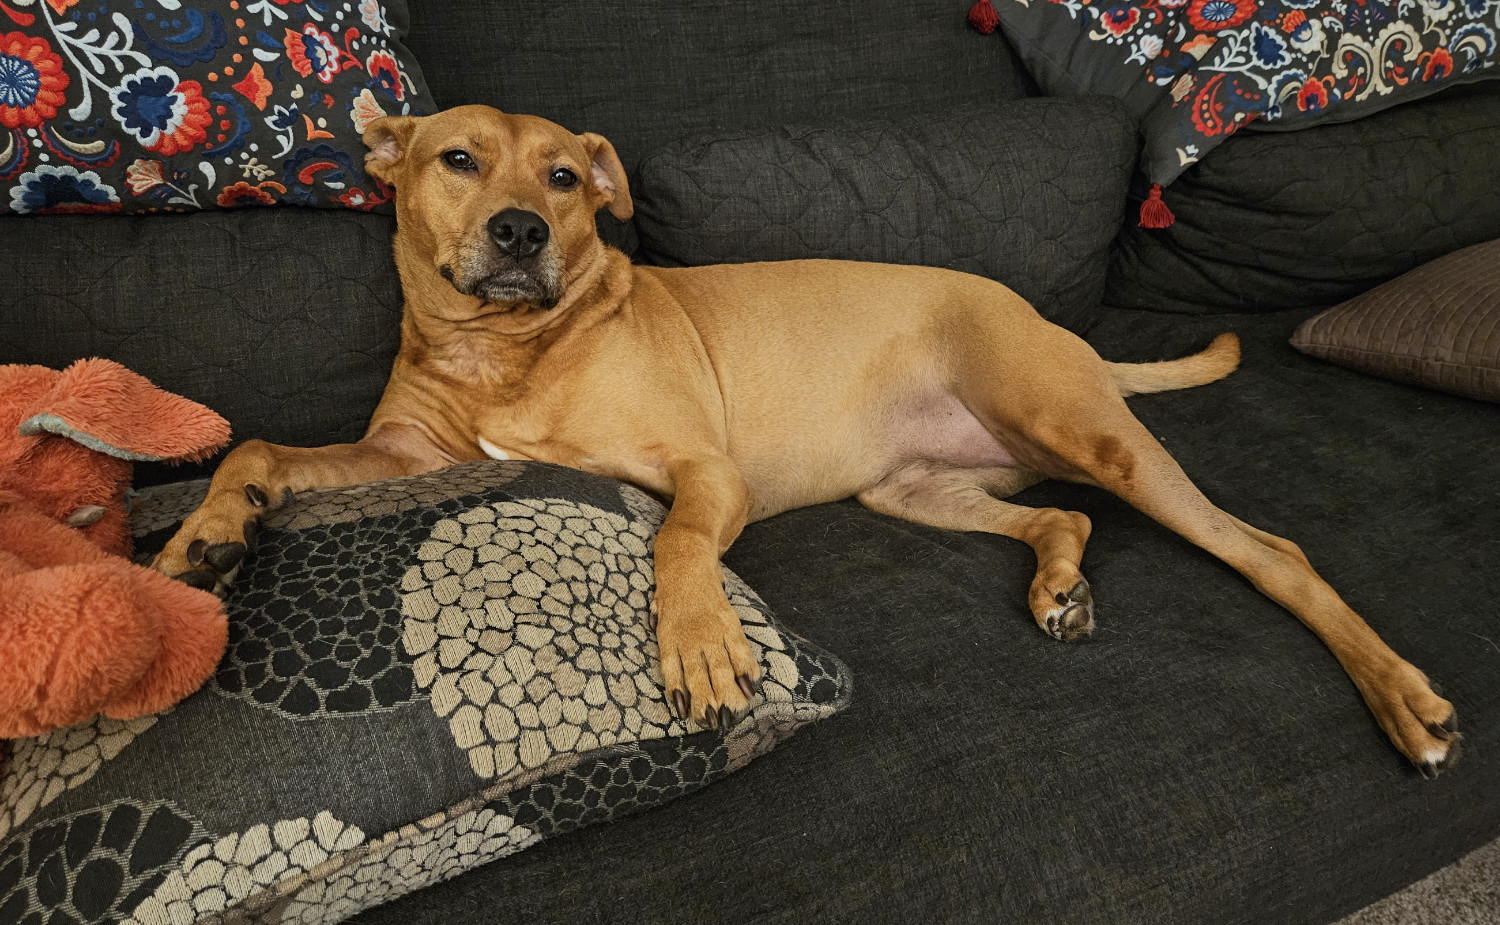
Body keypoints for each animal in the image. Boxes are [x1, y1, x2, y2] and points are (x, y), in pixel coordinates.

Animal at [158, 104, 1458, 773]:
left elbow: (676, 541)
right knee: (1059, 512)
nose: (523, 229)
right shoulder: (401, 460)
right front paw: (207, 534)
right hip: (922, 488)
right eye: (458, 159)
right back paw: (1058, 585)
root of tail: (1059, 329)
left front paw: (702, 647)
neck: (507, 348)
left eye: (569, 178)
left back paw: (1404, 701)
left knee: (1272, 552)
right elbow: (257, 449)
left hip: (1093, 435)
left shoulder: (701, 471)